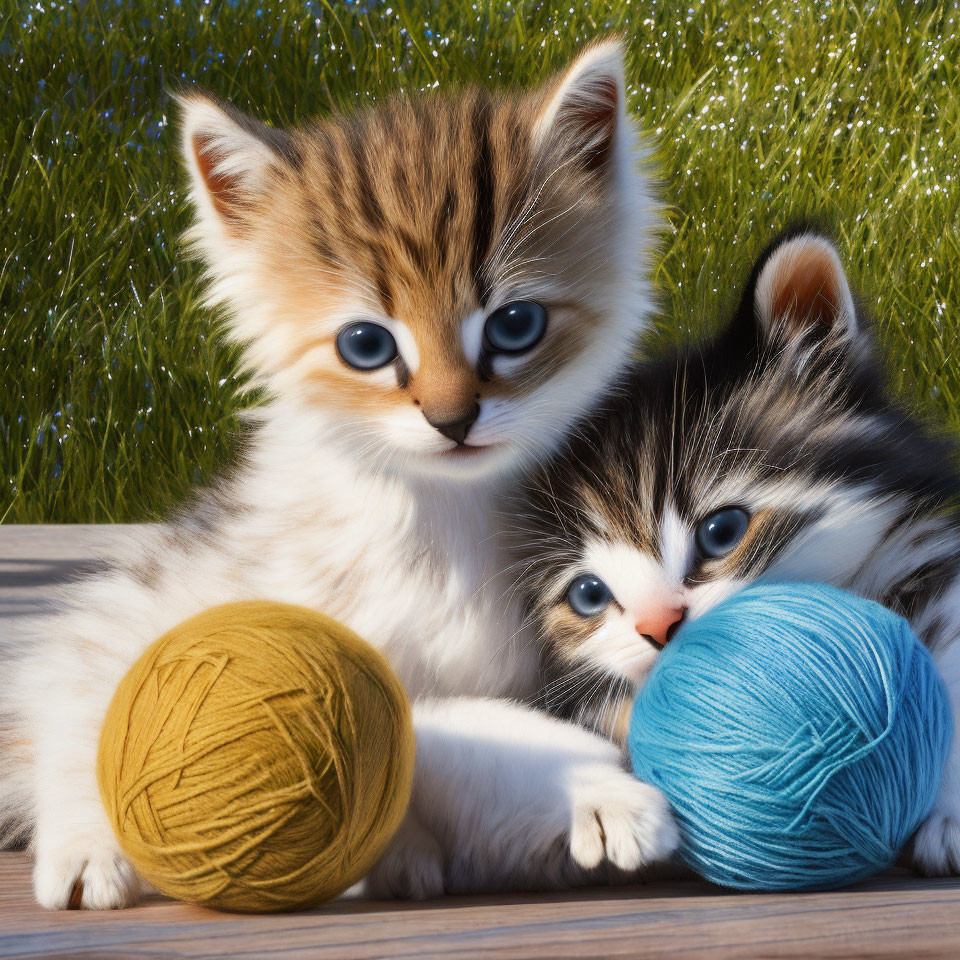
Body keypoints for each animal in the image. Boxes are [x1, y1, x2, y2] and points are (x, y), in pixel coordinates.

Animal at [0, 39, 684, 908]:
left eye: (516, 325)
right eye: (366, 344)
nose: (452, 419)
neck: (445, 518)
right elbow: (457, 729)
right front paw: (603, 795)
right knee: (70, 709)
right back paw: (89, 849)